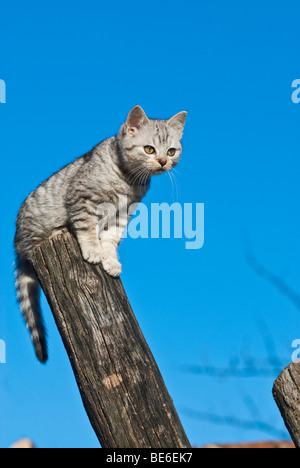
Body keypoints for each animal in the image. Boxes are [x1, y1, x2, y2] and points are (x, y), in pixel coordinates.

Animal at [15, 106, 188, 362]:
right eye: (149, 149)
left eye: (171, 151)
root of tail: (16, 244)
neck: (128, 180)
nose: (163, 161)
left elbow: (111, 240)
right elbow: (87, 227)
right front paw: (93, 250)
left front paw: (110, 259)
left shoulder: (122, 215)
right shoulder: (81, 197)